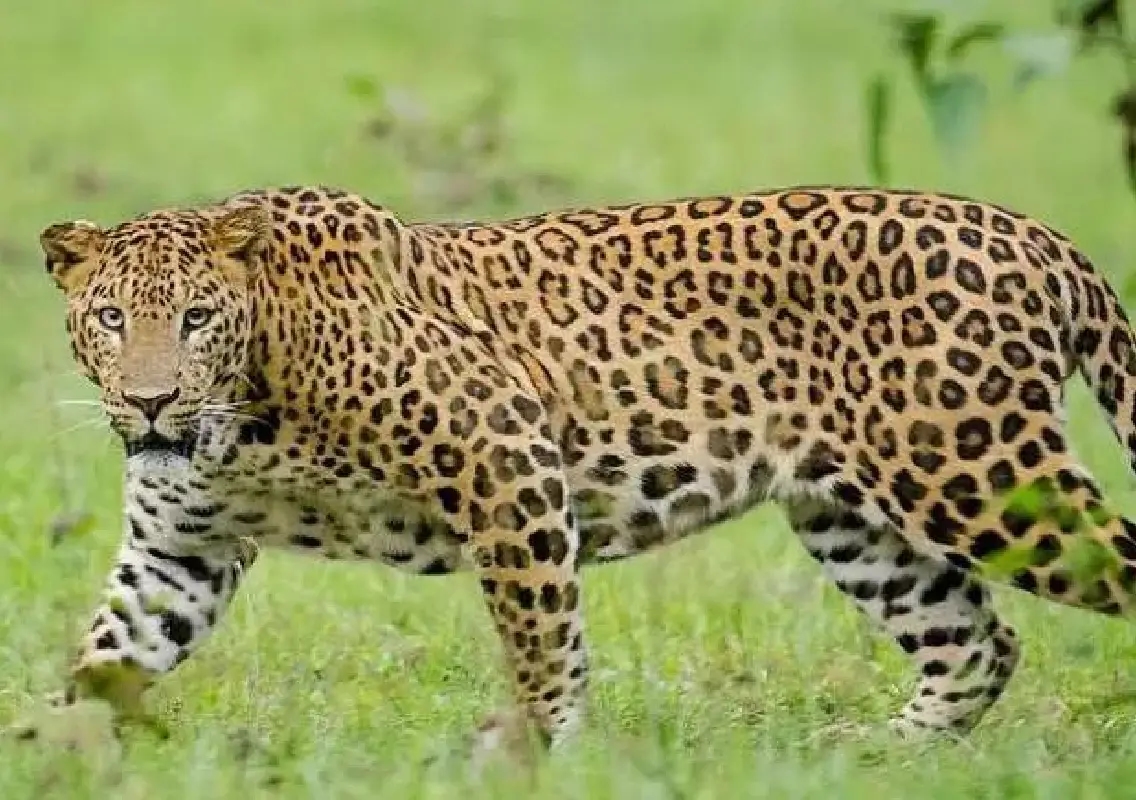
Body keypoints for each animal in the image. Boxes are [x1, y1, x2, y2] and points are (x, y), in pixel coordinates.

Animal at [20, 183, 1136, 754]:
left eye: (196, 317)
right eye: (111, 317)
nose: (150, 399)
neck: (244, 416)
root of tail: (1037, 235)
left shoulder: (506, 456)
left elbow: (540, 639)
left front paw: (543, 754)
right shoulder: (180, 551)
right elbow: (106, 658)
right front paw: (49, 755)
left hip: (978, 475)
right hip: (855, 517)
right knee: (976, 643)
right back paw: (870, 759)